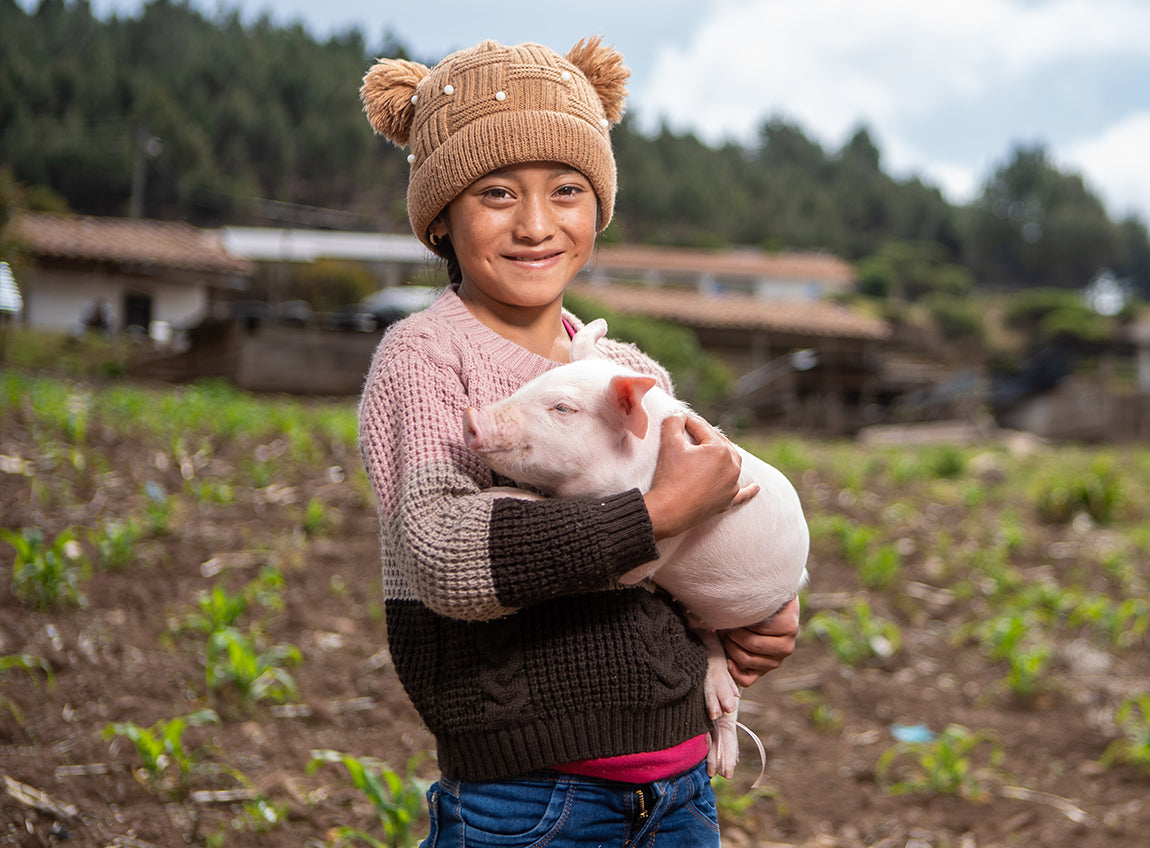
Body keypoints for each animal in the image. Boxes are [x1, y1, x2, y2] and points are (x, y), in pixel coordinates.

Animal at [462, 318, 810, 783]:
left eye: (563, 409)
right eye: (531, 385)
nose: (472, 416)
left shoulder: (651, 553)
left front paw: (494, 494)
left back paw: (724, 766)